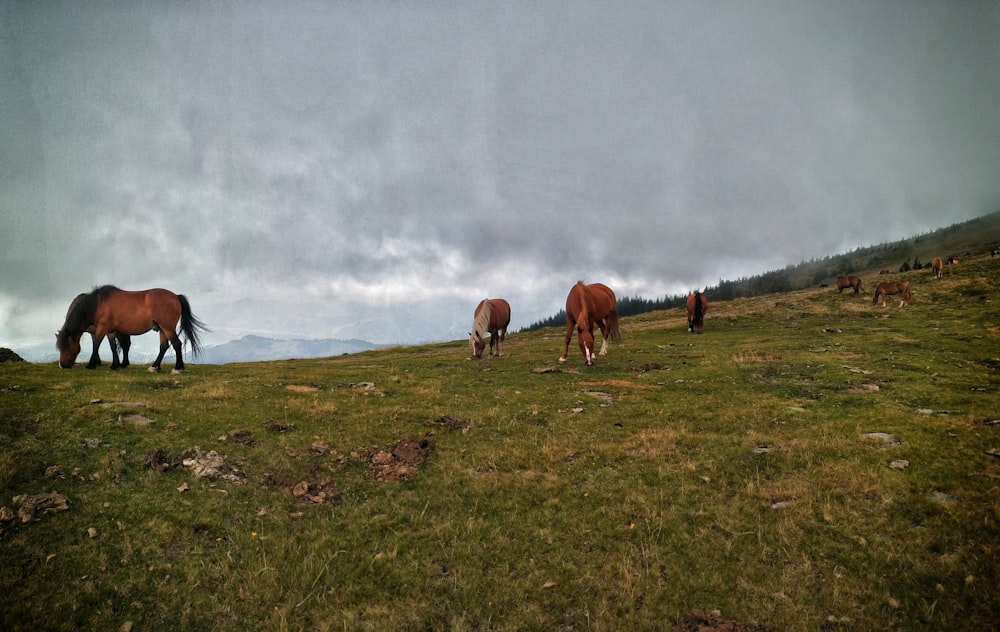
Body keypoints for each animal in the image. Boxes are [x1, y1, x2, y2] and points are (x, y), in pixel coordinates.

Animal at [57, 286, 207, 370]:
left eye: (66, 346)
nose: (62, 365)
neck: (98, 304)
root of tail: (176, 296)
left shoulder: (102, 328)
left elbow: (96, 345)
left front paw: (90, 365)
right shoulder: (111, 331)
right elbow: (113, 347)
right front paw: (115, 365)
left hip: (168, 328)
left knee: (176, 344)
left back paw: (177, 367)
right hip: (163, 329)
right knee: (164, 347)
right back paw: (155, 367)